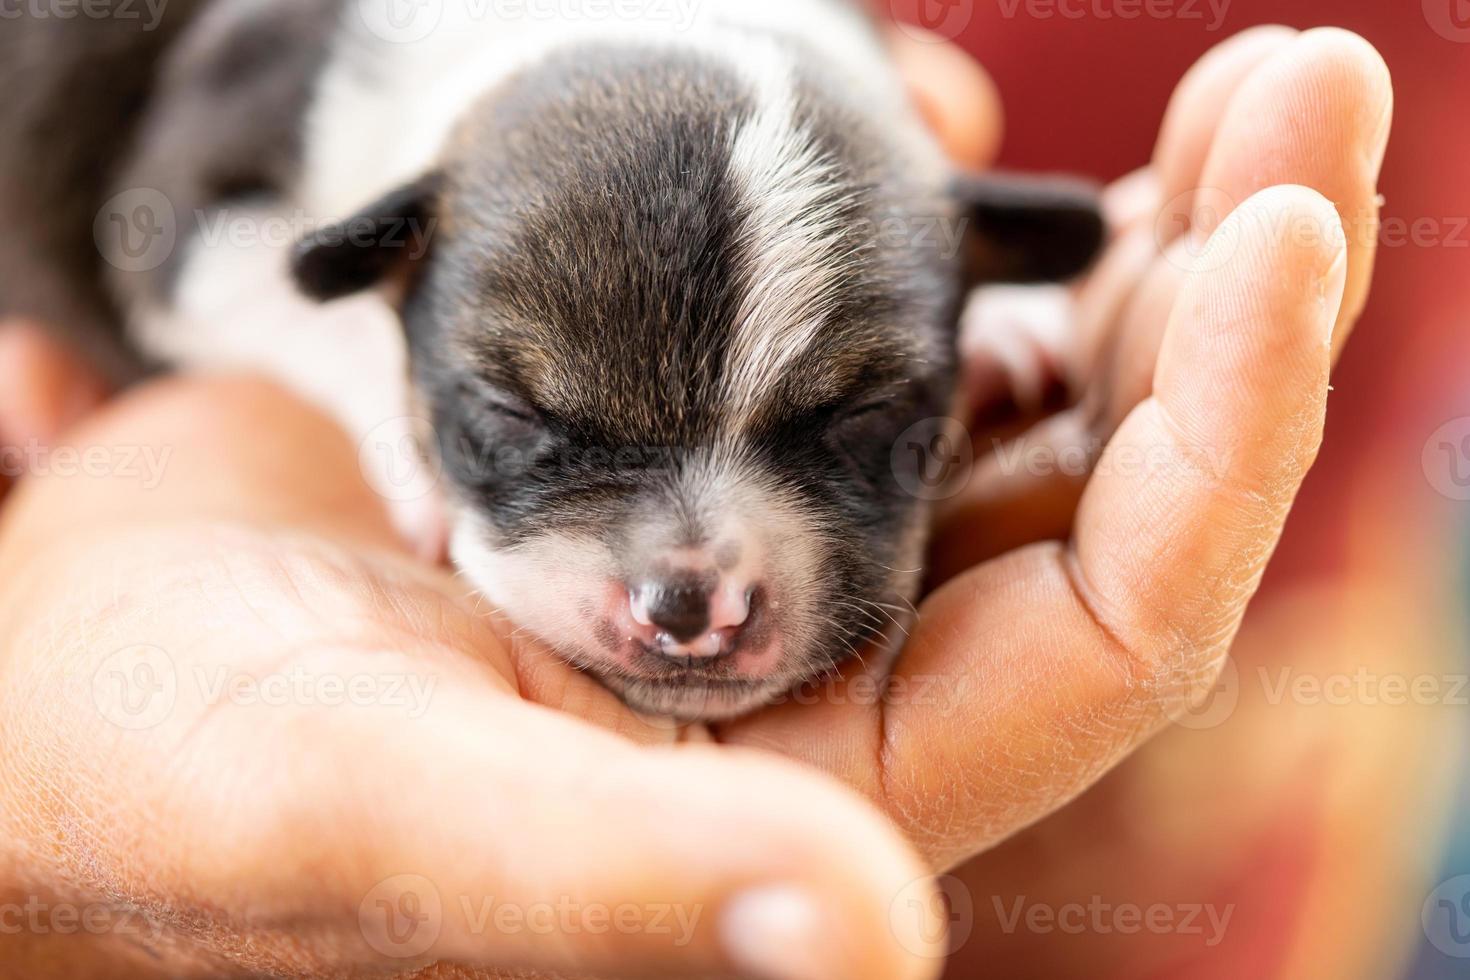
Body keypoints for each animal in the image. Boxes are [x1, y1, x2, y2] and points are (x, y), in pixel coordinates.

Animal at [2, 0, 1105, 719]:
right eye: (513, 414)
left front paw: (1009, 317)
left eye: (864, 417)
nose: (690, 609)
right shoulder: (169, 217)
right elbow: (317, 302)